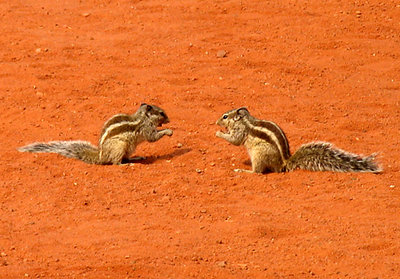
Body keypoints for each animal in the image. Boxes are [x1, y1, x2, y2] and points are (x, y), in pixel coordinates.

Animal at [18, 103, 173, 165]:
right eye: (161, 113)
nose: (169, 120)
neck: (142, 117)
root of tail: (101, 155)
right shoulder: (147, 129)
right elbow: (153, 137)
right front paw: (169, 131)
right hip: (120, 146)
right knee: (116, 162)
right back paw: (127, 165)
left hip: (129, 148)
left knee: (125, 158)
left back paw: (136, 158)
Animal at [216, 108, 382, 174]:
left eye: (225, 116)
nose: (216, 122)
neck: (245, 120)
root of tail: (283, 163)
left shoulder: (240, 132)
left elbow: (235, 140)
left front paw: (219, 133)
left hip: (258, 155)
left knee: (257, 172)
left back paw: (244, 171)